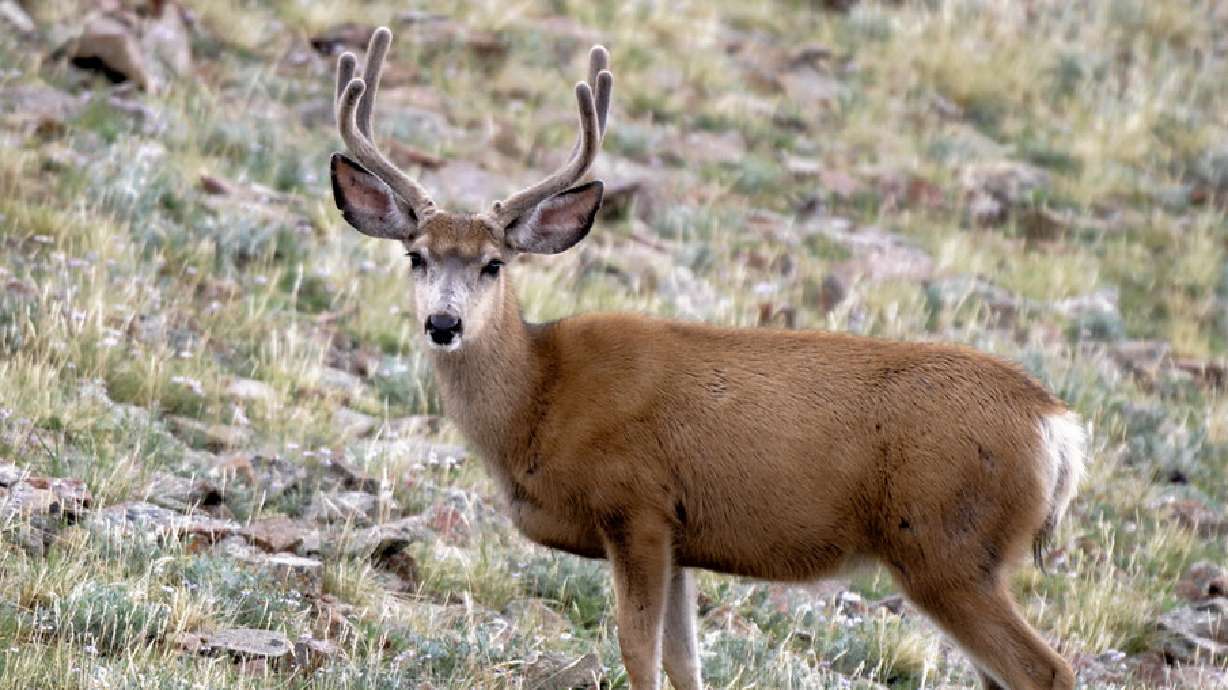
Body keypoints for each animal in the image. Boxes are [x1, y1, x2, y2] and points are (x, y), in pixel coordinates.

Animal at [328, 27, 1086, 690]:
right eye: (416, 256)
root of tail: (1057, 425)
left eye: (493, 264)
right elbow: (685, 662)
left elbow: (637, 652)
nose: (443, 323)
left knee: (1047, 669)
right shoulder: (679, 539)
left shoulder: (635, 504)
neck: (539, 398)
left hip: (944, 546)